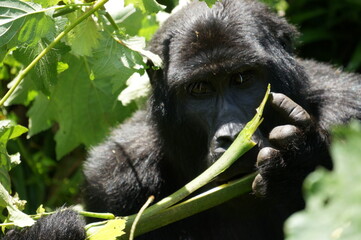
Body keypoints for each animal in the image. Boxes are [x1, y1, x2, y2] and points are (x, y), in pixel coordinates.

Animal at [3, 0, 360, 240]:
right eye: (199, 89)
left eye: (242, 79)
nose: (233, 137)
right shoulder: (113, 178)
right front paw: (52, 232)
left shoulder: (348, 108)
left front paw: (298, 160)